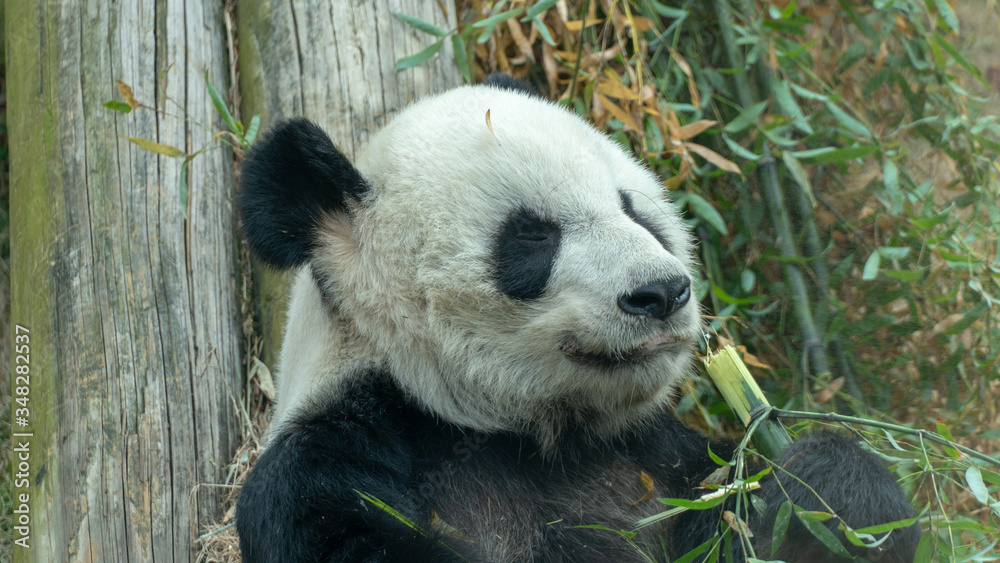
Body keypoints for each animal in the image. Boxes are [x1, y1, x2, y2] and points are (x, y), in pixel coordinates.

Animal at [234, 75, 918, 562]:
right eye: (532, 235)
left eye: (633, 209)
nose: (662, 292)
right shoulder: (336, 459)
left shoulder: (657, 456)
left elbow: (729, 508)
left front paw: (828, 492)